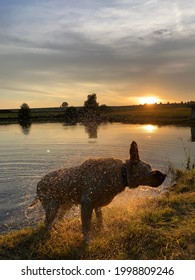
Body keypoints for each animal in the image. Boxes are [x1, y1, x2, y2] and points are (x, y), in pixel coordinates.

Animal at [29, 141, 166, 242]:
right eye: (149, 167)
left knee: (57, 219)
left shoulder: (97, 205)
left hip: (65, 205)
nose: (164, 175)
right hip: (52, 207)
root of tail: (38, 184)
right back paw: (51, 234)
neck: (121, 173)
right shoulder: (87, 204)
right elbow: (86, 226)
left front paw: (103, 230)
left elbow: (100, 219)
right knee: (47, 223)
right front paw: (87, 241)